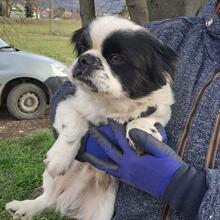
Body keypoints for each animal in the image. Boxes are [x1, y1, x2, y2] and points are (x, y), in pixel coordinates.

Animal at [5, 15, 177, 220]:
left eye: (116, 58)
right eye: (82, 49)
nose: (85, 59)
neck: (111, 102)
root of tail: (67, 195)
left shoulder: (161, 108)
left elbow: (143, 120)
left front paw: (143, 133)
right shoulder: (67, 102)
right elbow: (74, 125)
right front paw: (59, 157)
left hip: (102, 210)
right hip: (50, 179)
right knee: (47, 198)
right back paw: (24, 207)